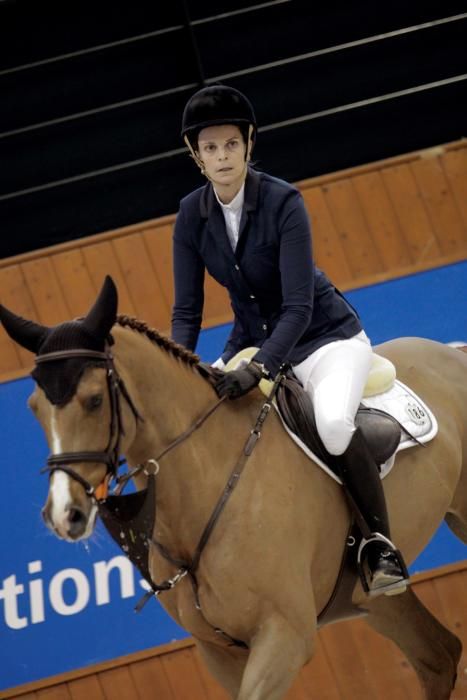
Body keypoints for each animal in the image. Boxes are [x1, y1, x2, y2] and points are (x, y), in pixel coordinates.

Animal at [0, 276, 466, 696]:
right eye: (35, 407)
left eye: (95, 400)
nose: (64, 515)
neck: (207, 485)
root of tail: (449, 352)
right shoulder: (219, 652)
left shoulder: (284, 637)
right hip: (371, 599)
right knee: (438, 656)